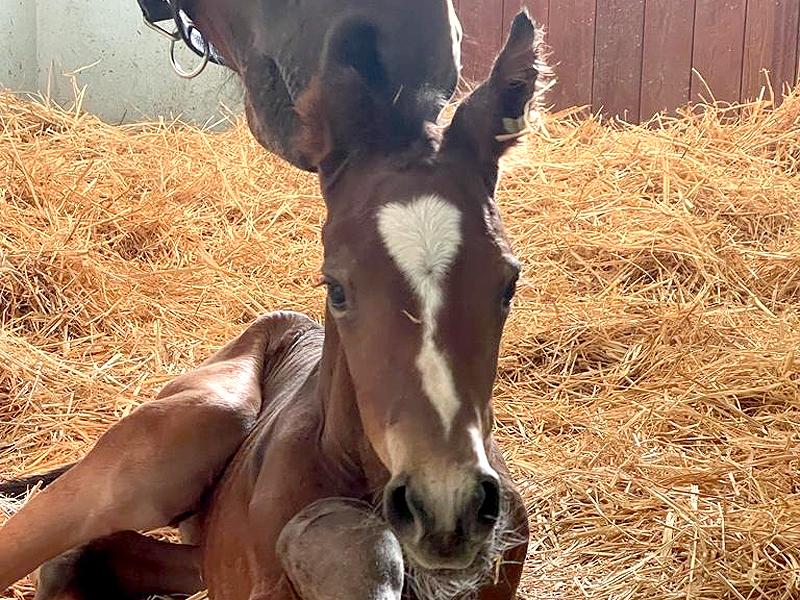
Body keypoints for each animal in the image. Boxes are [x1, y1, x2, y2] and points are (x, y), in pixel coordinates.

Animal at [0, 4, 544, 600]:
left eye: (508, 284)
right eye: (337, 288)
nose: (447, 507)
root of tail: (279, 323)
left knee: (83, 557)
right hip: (190, 428)